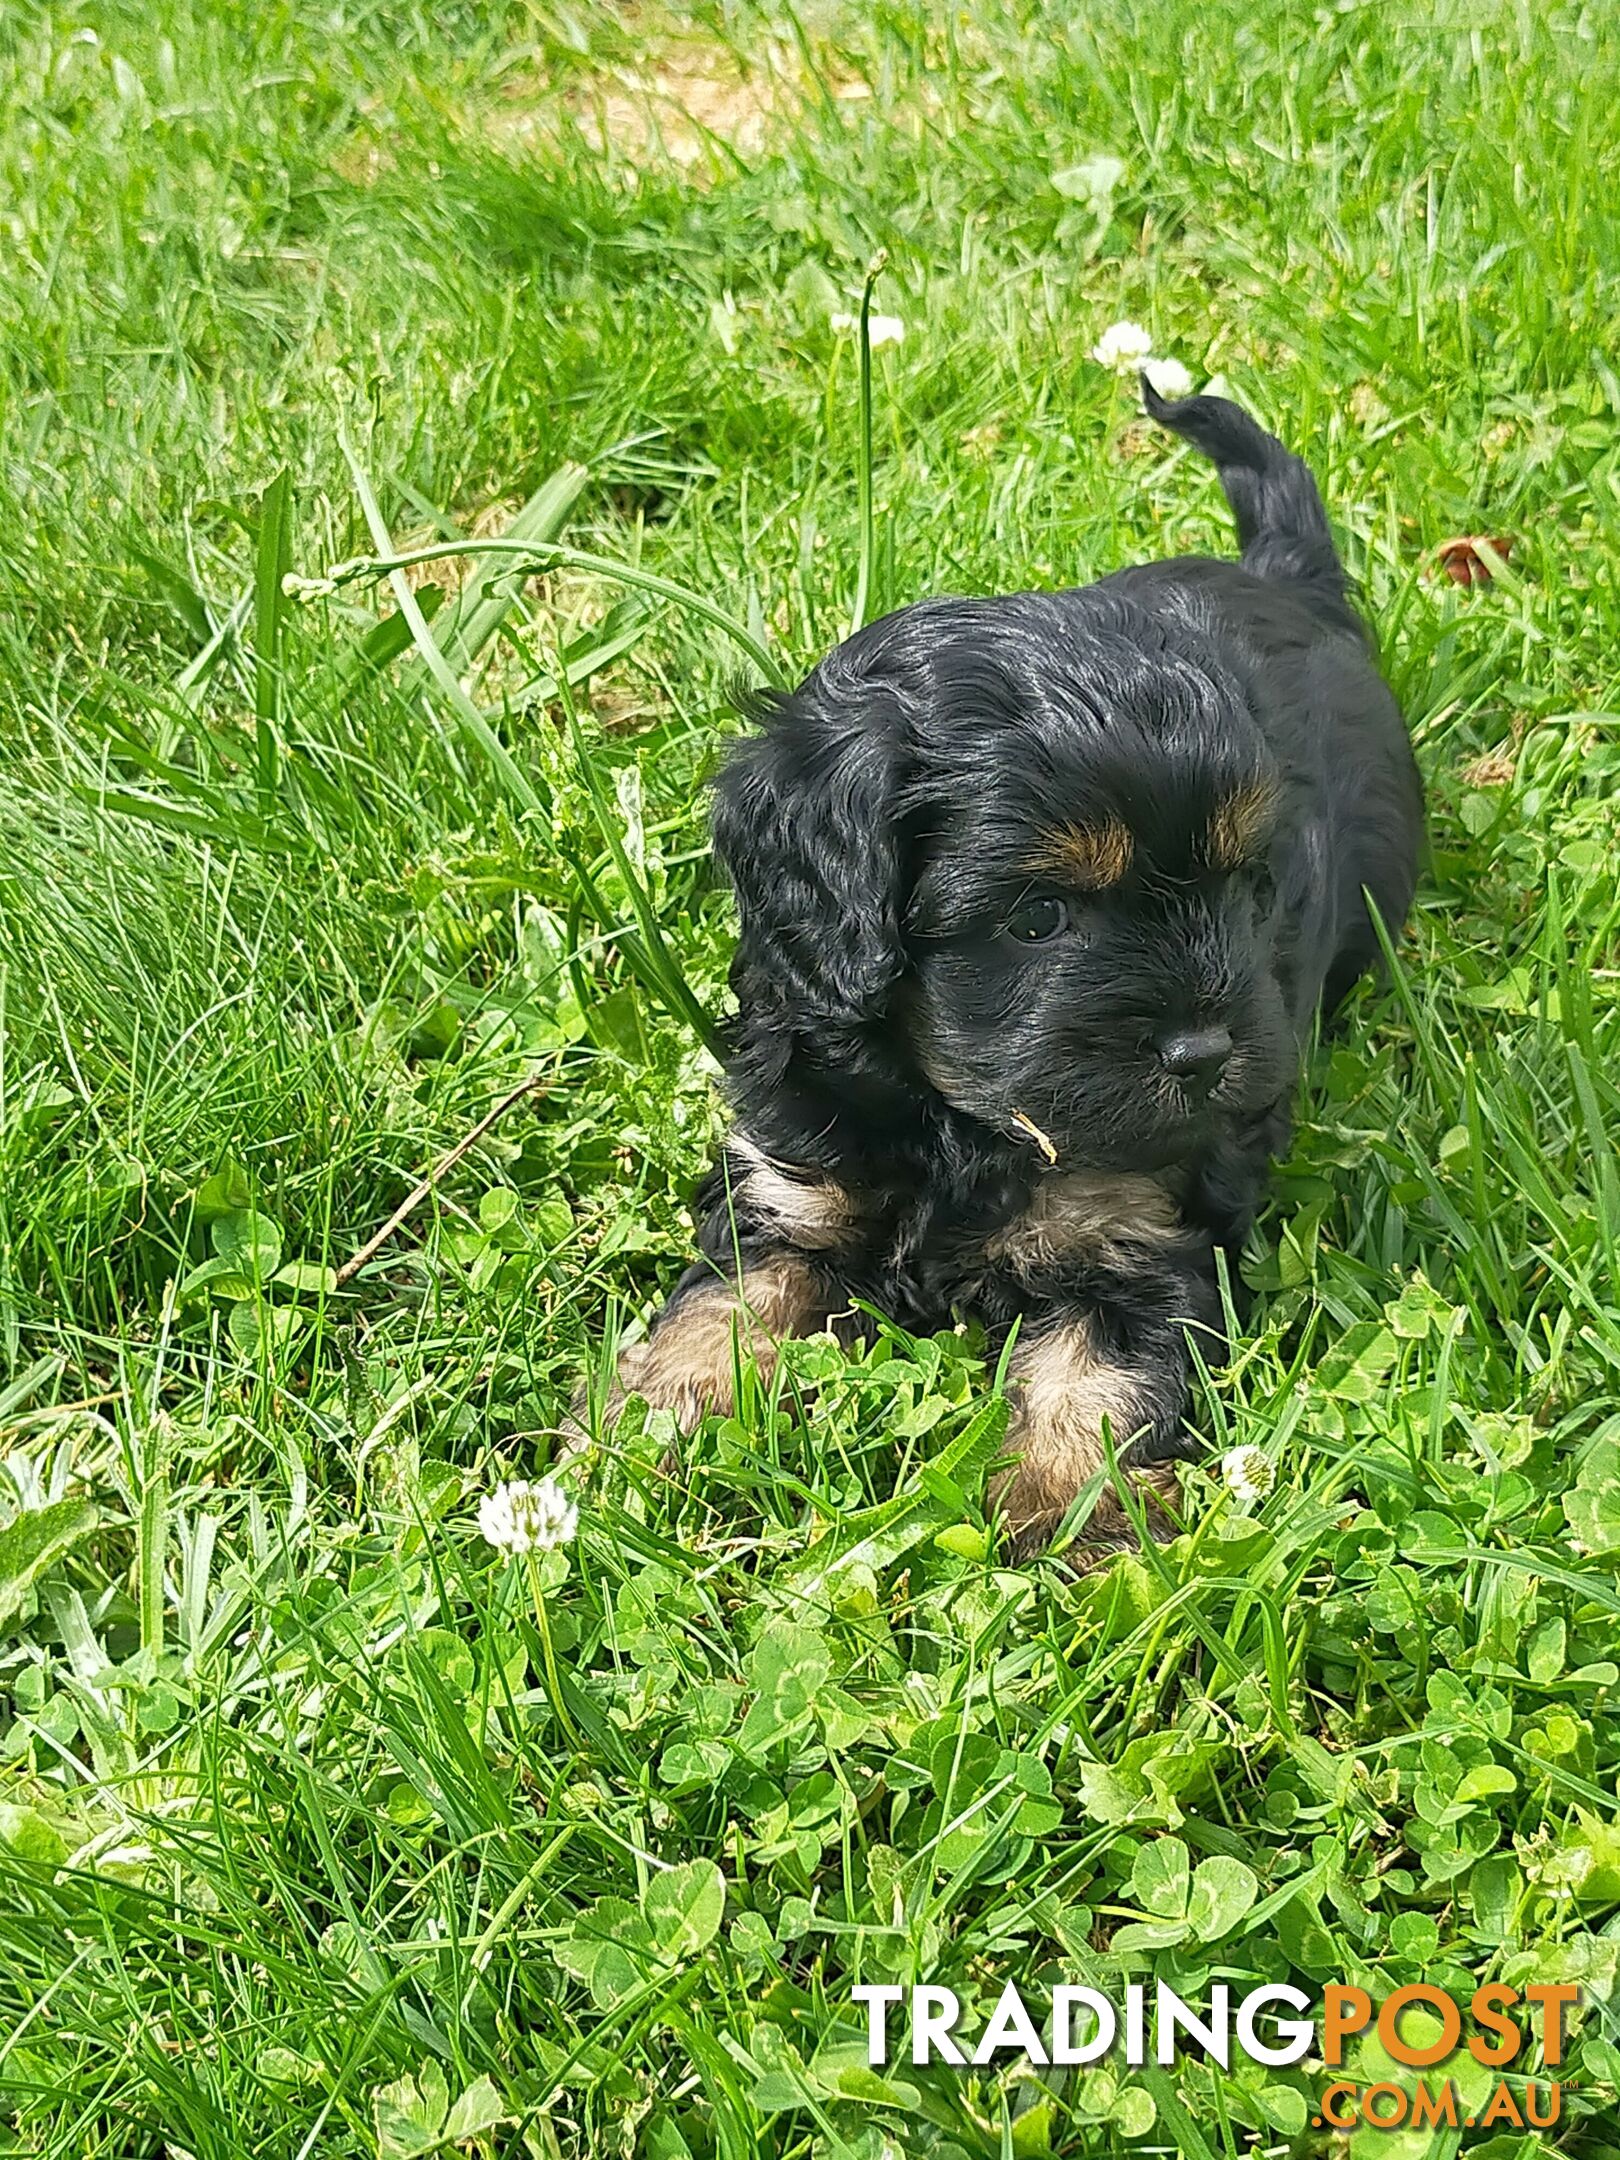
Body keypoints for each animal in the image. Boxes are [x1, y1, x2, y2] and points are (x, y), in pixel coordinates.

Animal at [596, 384, 1416, 1555]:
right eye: (1037, 917)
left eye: (1249, 890)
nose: (1206, 1055)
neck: (957, 1122)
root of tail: (1284, 577)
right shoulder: (790, 1175)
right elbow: (722, 1304)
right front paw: (647, 1431)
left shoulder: (1137, 1226)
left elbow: (1096, 1376)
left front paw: (1065, 1523)